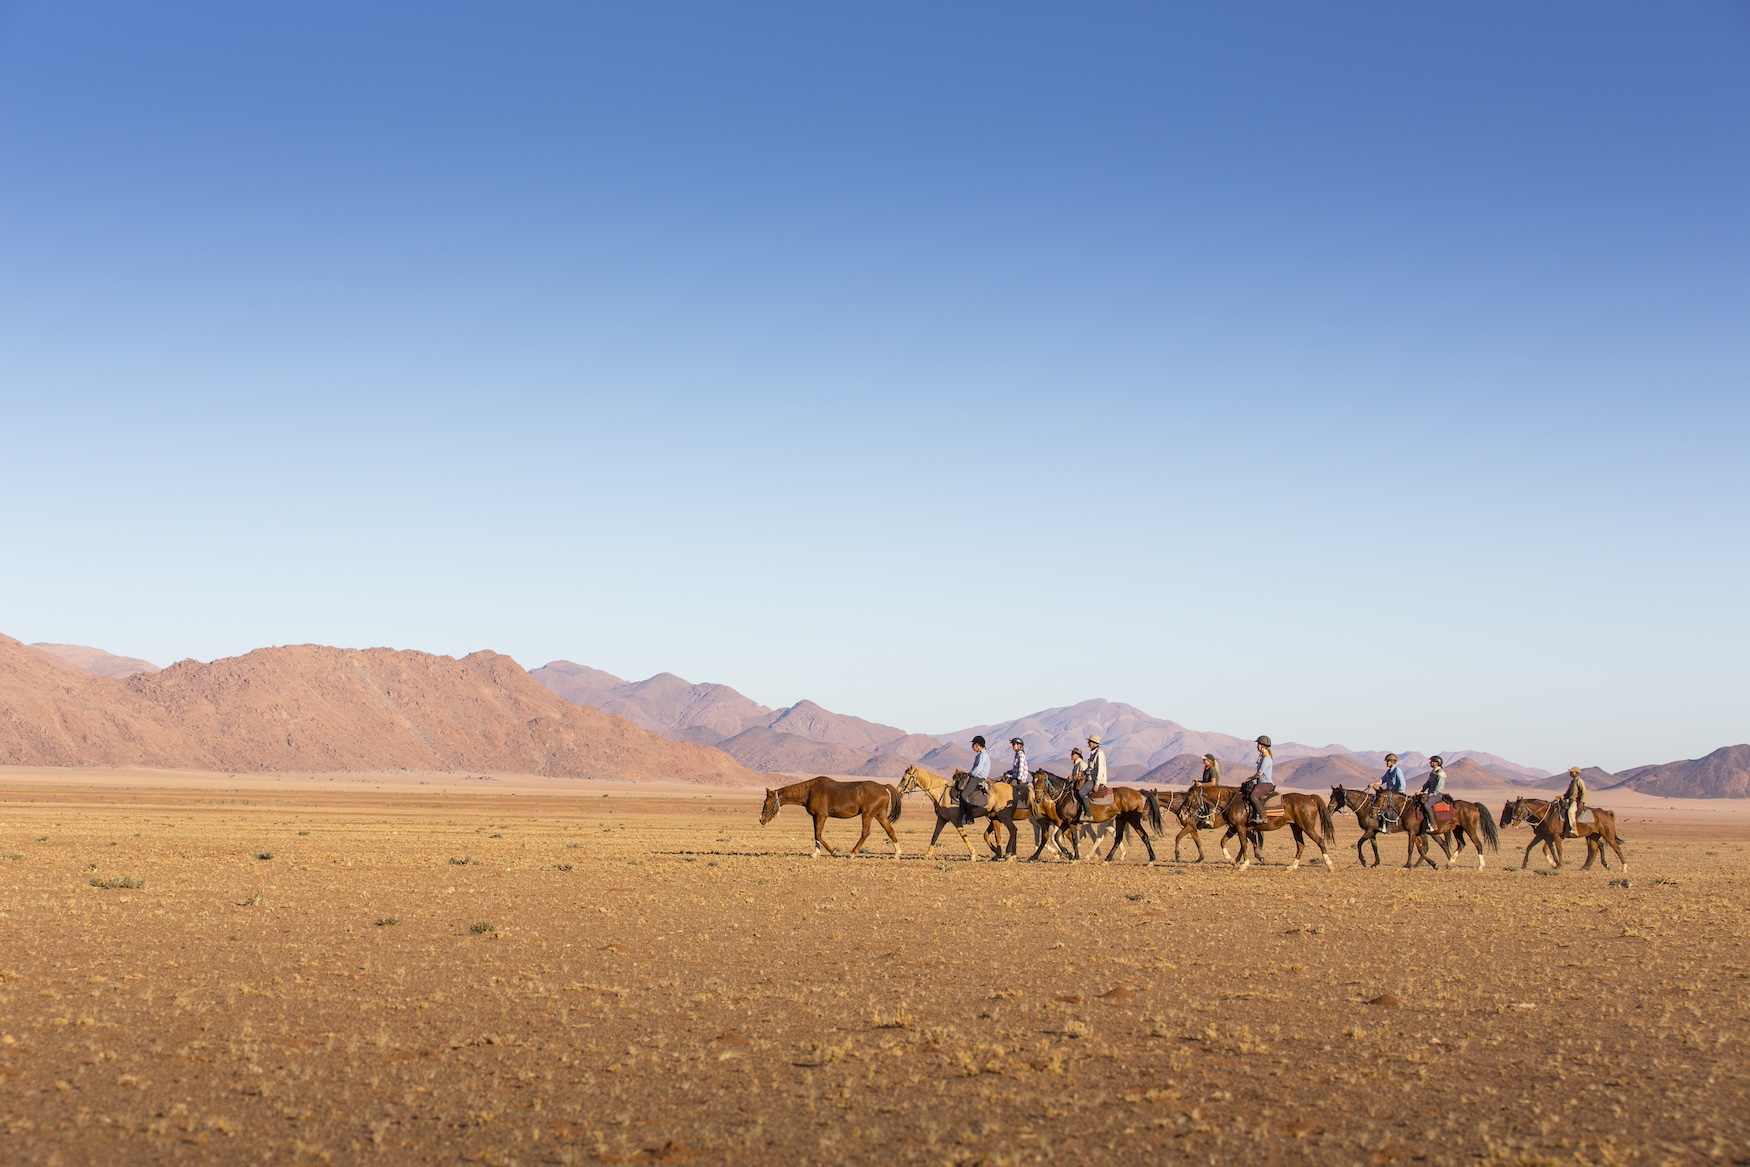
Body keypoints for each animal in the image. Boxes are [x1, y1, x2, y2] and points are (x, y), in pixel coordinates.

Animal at [1183, 780, 1330, 871]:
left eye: (1189, 795)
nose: (1183, 812)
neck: (1232, 801)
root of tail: (1309, 797)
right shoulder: (1232, 827)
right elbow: (1223, 841)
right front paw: (1232, 861)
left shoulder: (1240, 828)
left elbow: (1243, 844)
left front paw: (1244, 864)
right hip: (1296, 827)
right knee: (1301, 845)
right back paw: (1291, 867)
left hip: (1307, 827)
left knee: (1320, 841)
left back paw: (1329, 865)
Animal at [1491, 797, 1624, 871]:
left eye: (1510, 809)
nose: (1502, 824)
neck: (1546, 814)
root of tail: (1606, 812)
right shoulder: (1544, 836)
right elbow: (1537, 848)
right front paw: (1526, 864)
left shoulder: (1552, 836)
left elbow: (1556, 850)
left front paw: (1558, 864)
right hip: (1592, 836)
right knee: (1595, 849)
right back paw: (1587, 867)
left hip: (1607, 835)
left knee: (1615, 848)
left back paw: (1623, 867)